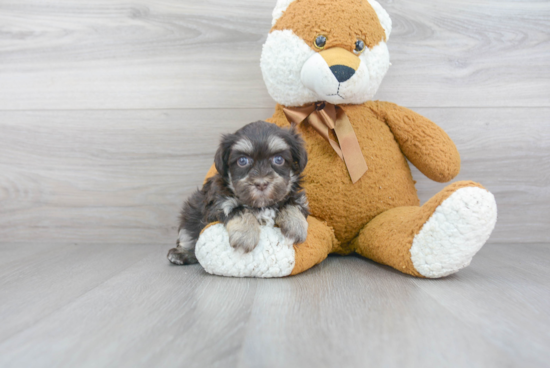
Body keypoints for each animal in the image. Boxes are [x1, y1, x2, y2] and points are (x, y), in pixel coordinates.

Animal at [168, 120, 310, 264]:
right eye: (242, 161)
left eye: (279, 159)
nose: (261, 184)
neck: (261, 205)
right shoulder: (219, 204)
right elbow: (240, 210)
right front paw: (245, 236)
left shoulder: (297, 198)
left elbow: (292, 204)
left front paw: (297, 226)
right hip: (190, 216)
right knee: (189, 237)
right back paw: (180, 254)